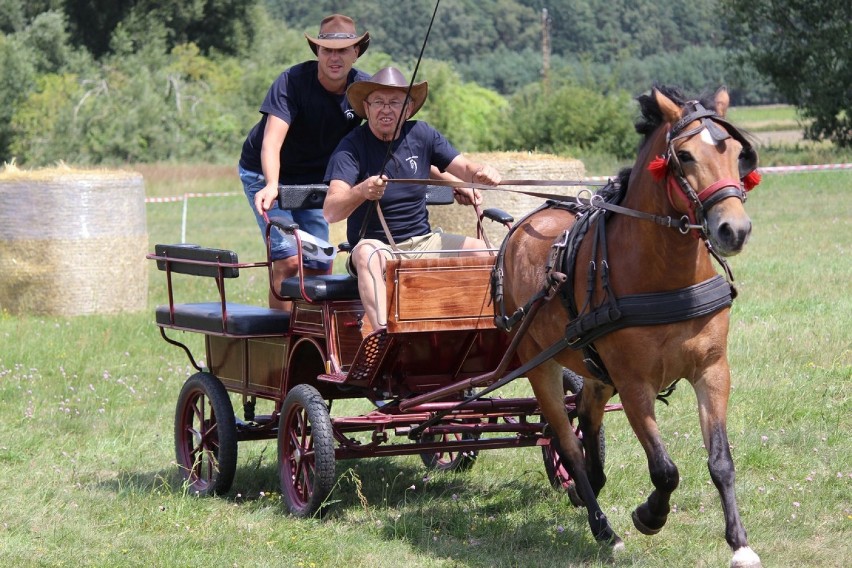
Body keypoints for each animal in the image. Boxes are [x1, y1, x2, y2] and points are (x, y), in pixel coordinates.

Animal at [496, 84, 764, 568]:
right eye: (685, 155)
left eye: (737, 154)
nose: (734, 230)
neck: (665, 275)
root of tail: (524, 223)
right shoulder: (636, 383)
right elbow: (665, 469)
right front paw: (649, 516)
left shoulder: (713, 371)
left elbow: (721, 461)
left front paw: (740, 543)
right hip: (539, 368)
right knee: (567, 445)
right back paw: (603, 527)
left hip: (594, 367)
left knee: (586, 416)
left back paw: (592, 488)